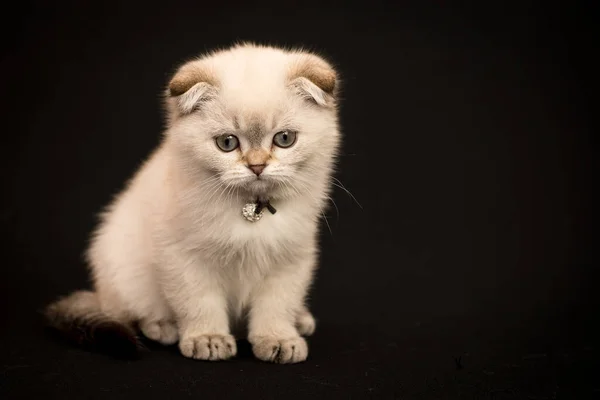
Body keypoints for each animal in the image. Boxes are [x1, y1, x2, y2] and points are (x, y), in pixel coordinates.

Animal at [44, 42, 340, 364]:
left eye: (284, 139)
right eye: (227, 143)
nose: (257, 166)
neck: (252, 209)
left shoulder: (290, 259)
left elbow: (276, 306)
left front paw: (278, 339)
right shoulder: (185, 259)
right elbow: (200, 303)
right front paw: (207, 339)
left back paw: (300, 320)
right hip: (122, 266)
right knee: (129, 313)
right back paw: (163, 327)